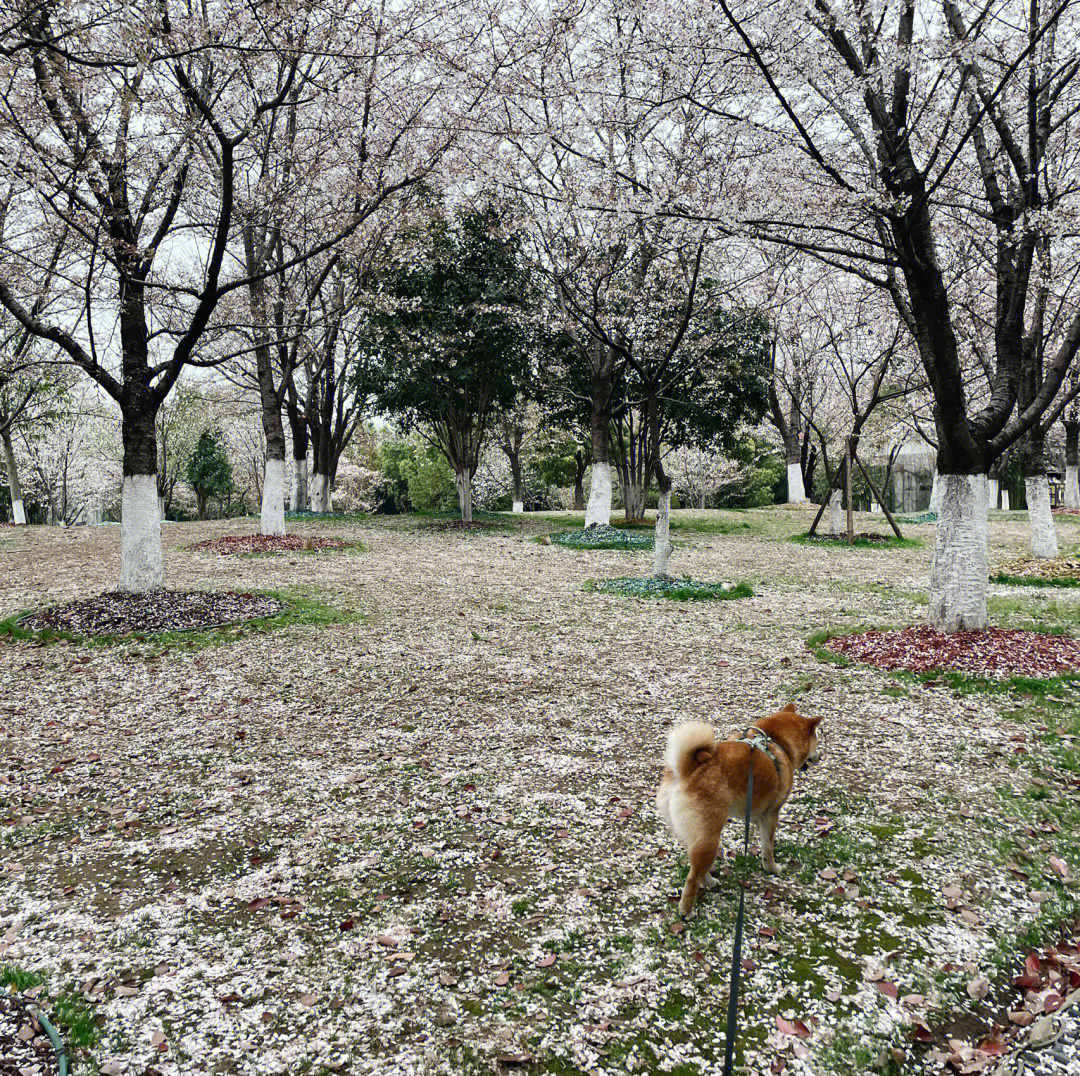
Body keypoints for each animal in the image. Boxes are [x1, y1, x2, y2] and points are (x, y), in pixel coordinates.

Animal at [652, 704, 820, 916]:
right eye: (817, 741)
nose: (820, 757)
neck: (776, 742)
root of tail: (687, 769)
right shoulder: (771, 816)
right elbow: (768, 848)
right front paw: (772, 868)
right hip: (709, 837)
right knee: (692, 879)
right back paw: (686, 911)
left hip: (696, 835)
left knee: (696, 867)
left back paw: (709, 881)